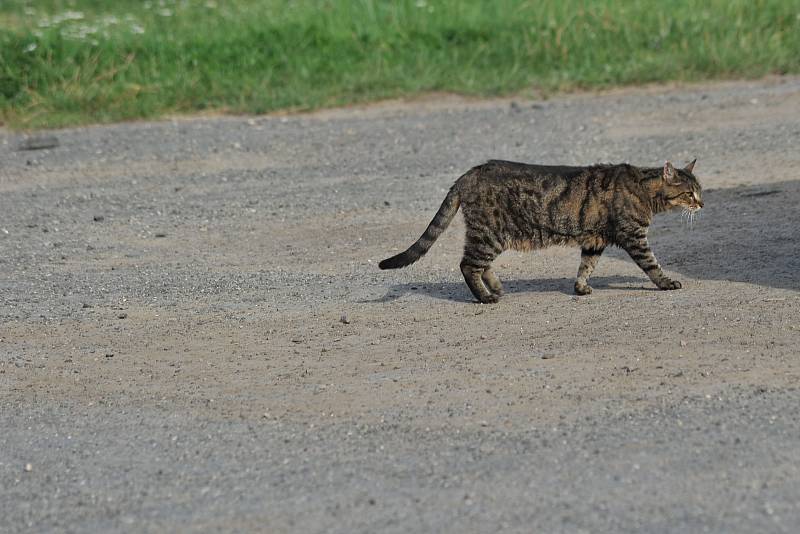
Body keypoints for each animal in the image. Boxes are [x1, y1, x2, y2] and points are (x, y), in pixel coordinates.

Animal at [380, 159, 700, 304]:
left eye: (700, 190)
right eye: (689, 193)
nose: (703, 203)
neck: (644, 189)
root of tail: (469, 173)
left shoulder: (594, 240)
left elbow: (586, 266)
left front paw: (580, 287)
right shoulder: (634, 236)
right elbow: (652, 265)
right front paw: (666, 283)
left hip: (490, 236)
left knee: (480, 265)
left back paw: (495, 287)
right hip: (489, 234)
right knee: (467, 265)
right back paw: (486, 297)